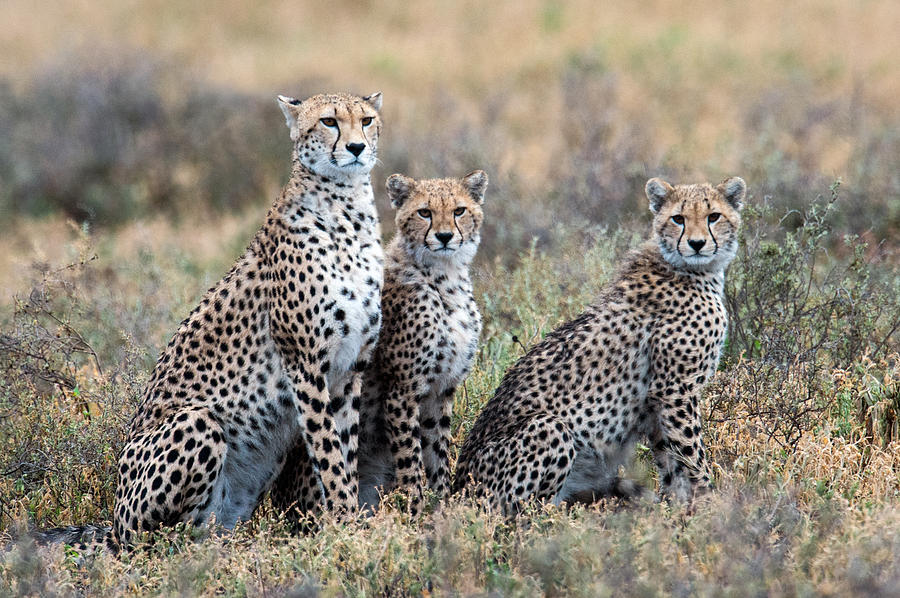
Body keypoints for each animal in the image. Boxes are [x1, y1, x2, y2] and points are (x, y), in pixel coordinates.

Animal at [39, 90, 384, 552]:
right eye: (329, 121)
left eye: (366, 120)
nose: (357, 148)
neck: (347, 205)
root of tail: (113, 522)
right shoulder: (305, 364)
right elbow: (328, 452)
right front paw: (347, 524)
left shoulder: (349, 370)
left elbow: (344, 450)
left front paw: (352, 520)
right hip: (196, 423)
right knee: (159, 539)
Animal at [356, 170, 486, 516]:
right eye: (424, 212)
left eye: (459, 211)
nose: (444, 236)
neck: (446, 277)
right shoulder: (402, 391)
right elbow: (410, 458)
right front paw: (414, 511)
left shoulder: (441, 390)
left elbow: (437, 452)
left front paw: (441, 507)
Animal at [454, 176, 748, 512]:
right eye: (678, 219)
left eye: (714, 217)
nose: (697, 244)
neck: (688, 269)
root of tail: (456, 491)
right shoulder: (674, 390)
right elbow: (691, 453)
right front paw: (711, 505)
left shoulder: (657, 402)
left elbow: (671, 460)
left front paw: (676, 509)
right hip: (550, 429)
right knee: (526, 511)